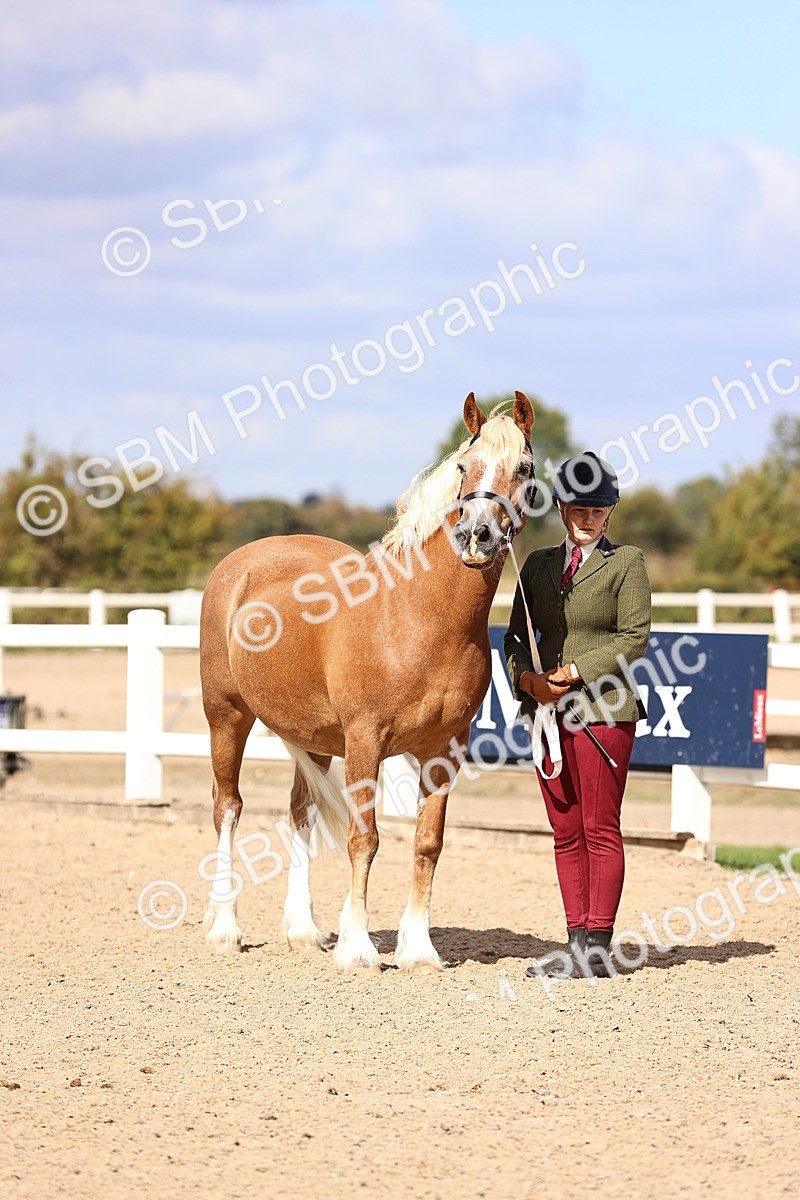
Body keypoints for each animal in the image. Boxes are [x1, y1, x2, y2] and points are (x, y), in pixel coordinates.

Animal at [199, 390, 535, 971]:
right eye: (464, 467)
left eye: (524, 468)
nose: (477, 536)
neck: (418, 618)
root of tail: (241, 562)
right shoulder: (365, 741)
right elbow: (365, 838)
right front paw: (358, 947)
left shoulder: (445, 750)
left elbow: (427, 844)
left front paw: (418, 948)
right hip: (227, 717)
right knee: (229, 807)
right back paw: (225, 928)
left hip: (312, 737)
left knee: (300, 812)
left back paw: (304, 930)